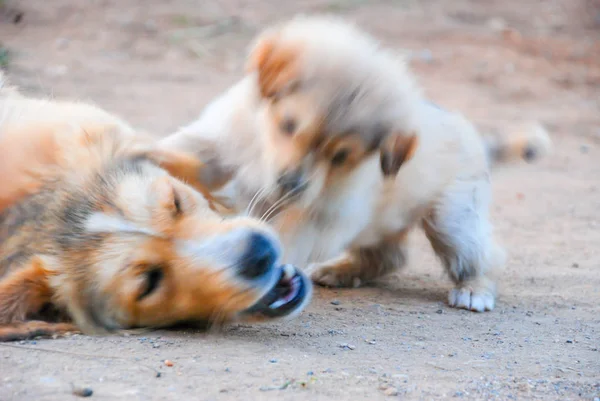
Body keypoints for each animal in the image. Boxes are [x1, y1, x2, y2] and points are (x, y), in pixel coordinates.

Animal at [161, 16, 552, 312]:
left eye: (340, 156)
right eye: (288, 125)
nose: (291, 185)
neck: (260, 145)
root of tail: (473, 134)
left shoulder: (322, 215)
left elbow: (283, 234)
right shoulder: (218, 143)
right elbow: (183, 151)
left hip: (454, 218)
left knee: (483, 253)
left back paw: (475, 289)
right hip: (384, 222)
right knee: (391, 256)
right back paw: (342, 270)